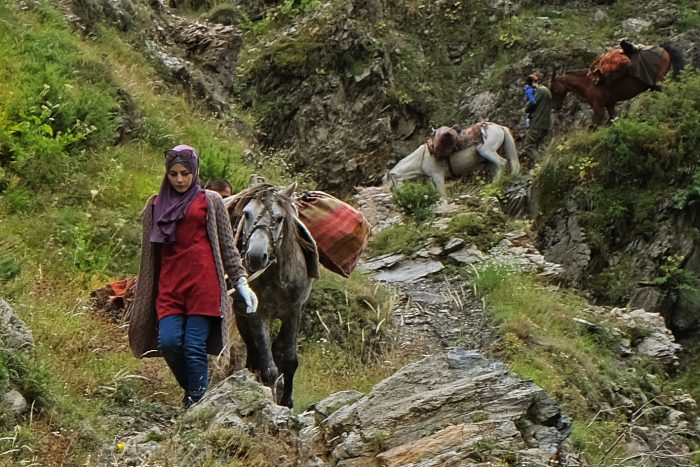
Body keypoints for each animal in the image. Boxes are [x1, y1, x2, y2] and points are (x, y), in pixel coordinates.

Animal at [382, 121, 520, 197]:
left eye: (391, 187)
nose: (396, 197)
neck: (422, 158)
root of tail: (500, 127)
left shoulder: (438, 176)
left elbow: (443, 194)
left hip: (487, 151)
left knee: (502, 163)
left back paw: (494, 184)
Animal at [548, 44, 684, 126]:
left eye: (553, 89)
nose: (555, 107)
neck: (589, 83)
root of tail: (663, 48)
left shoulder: (598, 108)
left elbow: (594, 126)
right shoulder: (609, 105)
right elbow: (613, 119)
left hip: (659, 84)